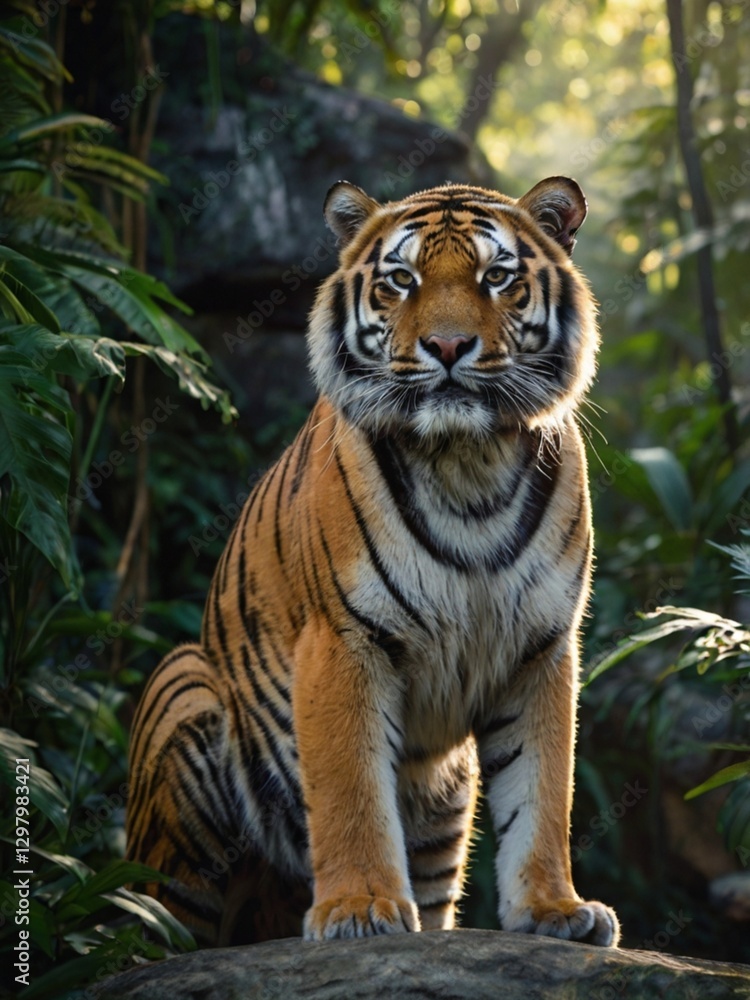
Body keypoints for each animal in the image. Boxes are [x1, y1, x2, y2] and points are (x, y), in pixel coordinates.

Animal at [126, 176, 621, 949]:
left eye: (496, 277)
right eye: (401, 280)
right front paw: (359, 908)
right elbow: (351, 788)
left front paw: (552, 910)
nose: (447, 345)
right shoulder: (344, 641)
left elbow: (541, 793)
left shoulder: (539, 649)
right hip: (184, 691)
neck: (467, 464)